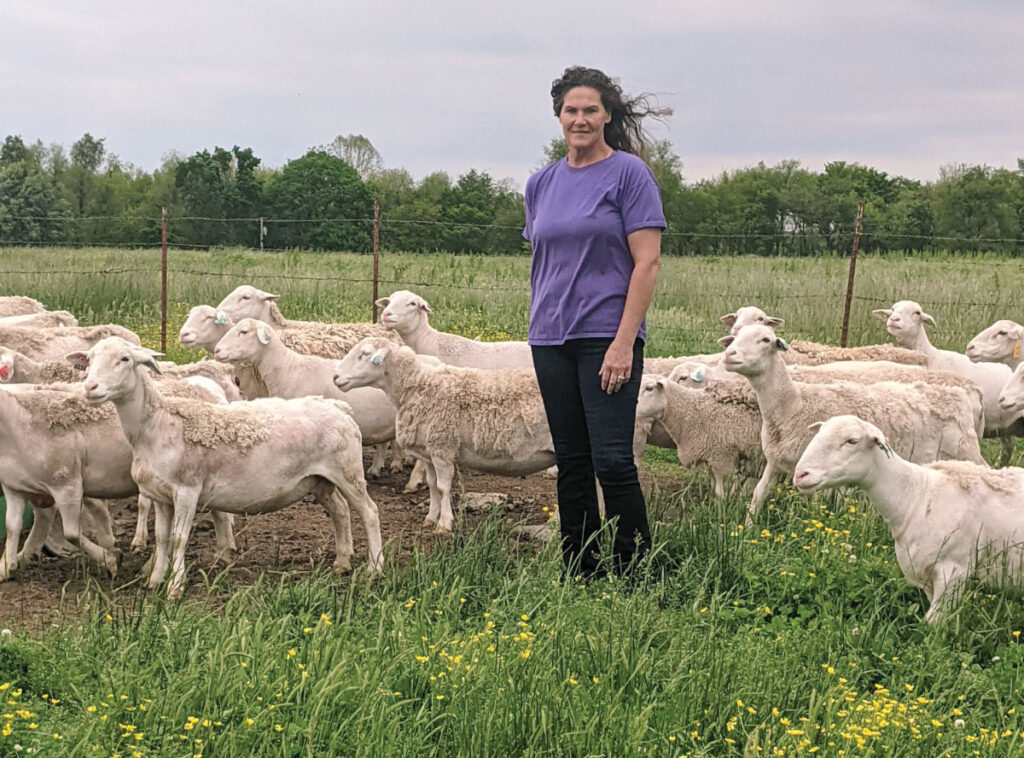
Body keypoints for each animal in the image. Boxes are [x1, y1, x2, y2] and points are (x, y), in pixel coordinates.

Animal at [74, 333, 382, 594]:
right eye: (89, 359)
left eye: (125, 359)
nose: (90, 387)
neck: (158, 424)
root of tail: (339, 408)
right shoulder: (160, 495)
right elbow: (162, 538)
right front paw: (154, 581)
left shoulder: (187, 489)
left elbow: (178, 538)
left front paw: (175, 587)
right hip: (320, 480)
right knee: (340, 511)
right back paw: (342, 563)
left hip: (348, 472)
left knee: (369, 512)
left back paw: (374, 568)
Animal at [335, 338, 557, 532]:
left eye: (364, 354)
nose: (335, 377)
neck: (420, 386)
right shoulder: (428, 453)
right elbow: (432, 486)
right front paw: (431, 518)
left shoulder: (442, 448)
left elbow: (443, 488)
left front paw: (444, 524)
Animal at [720, 323, 991, 524]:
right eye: (735, 337)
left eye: (766, 340)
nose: (729, 355)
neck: (793, 405)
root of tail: (964, 393)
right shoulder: (775, 462)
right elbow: (758, 495)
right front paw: (747, 529)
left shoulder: (817, 474)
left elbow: (813, 511)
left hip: (966, 451)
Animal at [794, 413, 1024, 622]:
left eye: (852, 441)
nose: (800, 475)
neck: (916, 496)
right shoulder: (925, 573)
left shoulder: (954, 571)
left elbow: (931, 625)